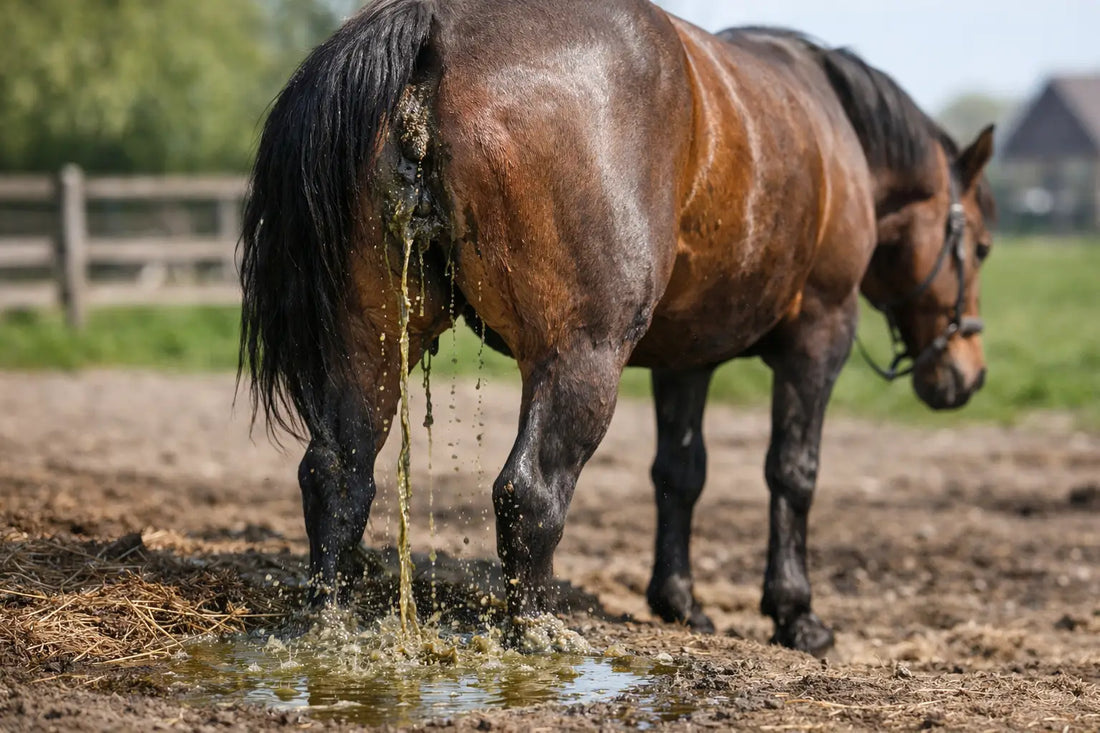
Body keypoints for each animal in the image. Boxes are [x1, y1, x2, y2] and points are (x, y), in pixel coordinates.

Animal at [240, 0, 996, 655]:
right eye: (983, 247)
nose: (968, 374)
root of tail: (437, 26)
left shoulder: (687, 355)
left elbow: (680, 473)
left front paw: (681, 601)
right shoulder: (818, 335)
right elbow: (792, 472)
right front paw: (795, 614)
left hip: (368, 340)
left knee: (338, 474)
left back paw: (331, 623)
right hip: (581, 358)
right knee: (529, 492)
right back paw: (538, 633)